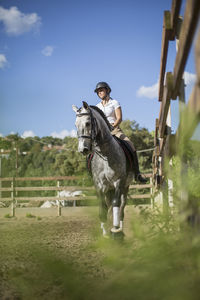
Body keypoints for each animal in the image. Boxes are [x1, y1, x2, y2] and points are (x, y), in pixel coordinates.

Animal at [72, 102, 134, 238]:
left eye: (88, 123)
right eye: (75, 124)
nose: (82, 149)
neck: (106, 155)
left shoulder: (118, 182)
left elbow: (116, 204)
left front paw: (115, 230)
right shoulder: (99, 185)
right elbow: (103, 207)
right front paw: (105, 233)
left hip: (125, 187)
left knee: (122, 206)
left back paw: (120, 228)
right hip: (108, 189)